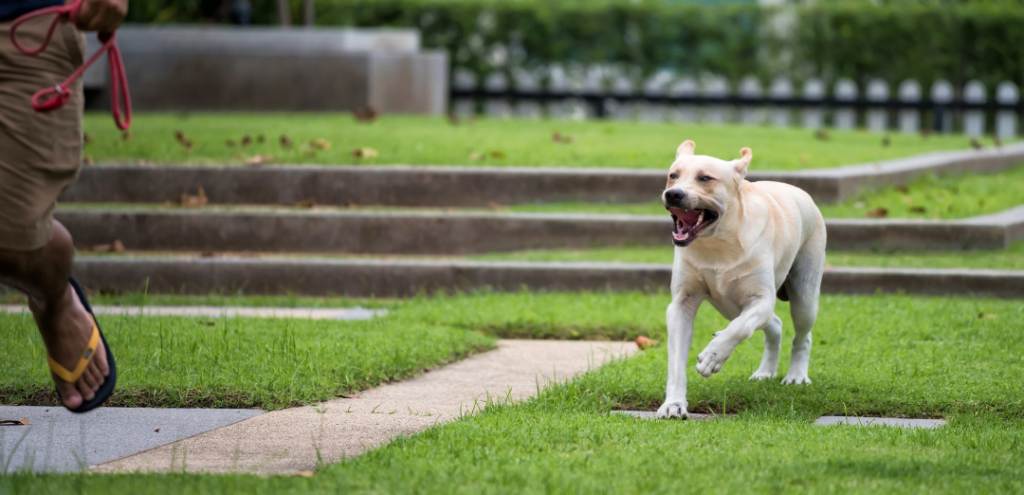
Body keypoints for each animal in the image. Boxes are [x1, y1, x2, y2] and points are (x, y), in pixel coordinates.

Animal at [659, 141, 827, 420]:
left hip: (805, 293)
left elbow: (739, 328)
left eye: (705, 178)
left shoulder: (761, 300)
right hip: (732, 306)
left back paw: (796, 376)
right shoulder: (681, 303)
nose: (673, 194)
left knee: (802, 334)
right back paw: (765, 371)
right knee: (775, 324)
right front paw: (673, 404)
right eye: (673, 175)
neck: (718, 243)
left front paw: (713, 355)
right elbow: (675, 360)